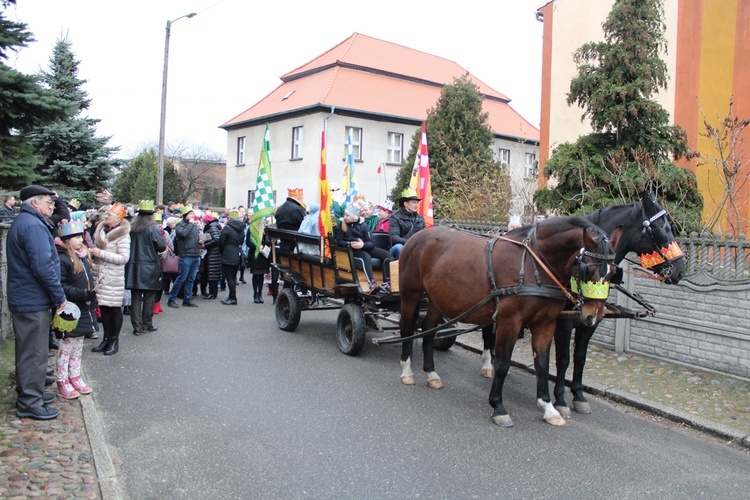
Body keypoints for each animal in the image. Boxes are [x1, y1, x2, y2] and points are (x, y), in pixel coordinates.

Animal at [396, 215, 620, 426]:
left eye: (613, 273)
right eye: (587, 270)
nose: (594, 315)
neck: (534, 264)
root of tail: (418, 236)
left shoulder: (545, 323)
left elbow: (543, 364)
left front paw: (549, 408)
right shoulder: (509, 322)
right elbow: (503, 363)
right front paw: (498, 407)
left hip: (437, 299)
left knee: (428, 331)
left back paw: (431, 374)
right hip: (410, 294)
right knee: (406, 329)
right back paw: (407, 371)